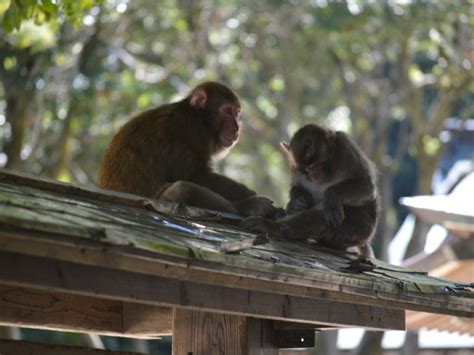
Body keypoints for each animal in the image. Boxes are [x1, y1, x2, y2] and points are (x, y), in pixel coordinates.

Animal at [98, 82, 280, 218]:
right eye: (227, 111)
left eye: (236, 112)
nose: (236, 128)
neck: (198, 117)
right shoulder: (189, 129)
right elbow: (194, 175)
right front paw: (249, 195)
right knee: (183, 189)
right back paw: (242, 207)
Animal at [241, 124, 378, 258]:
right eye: (305, 170)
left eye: (314, 167)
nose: (313, 177)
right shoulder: (294, 164)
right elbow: (297, 186)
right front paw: (296, 204)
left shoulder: (346, 148)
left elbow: (367, 186)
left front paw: (332, 197)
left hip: (359, 230)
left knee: (322, 215)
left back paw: (275, 227)